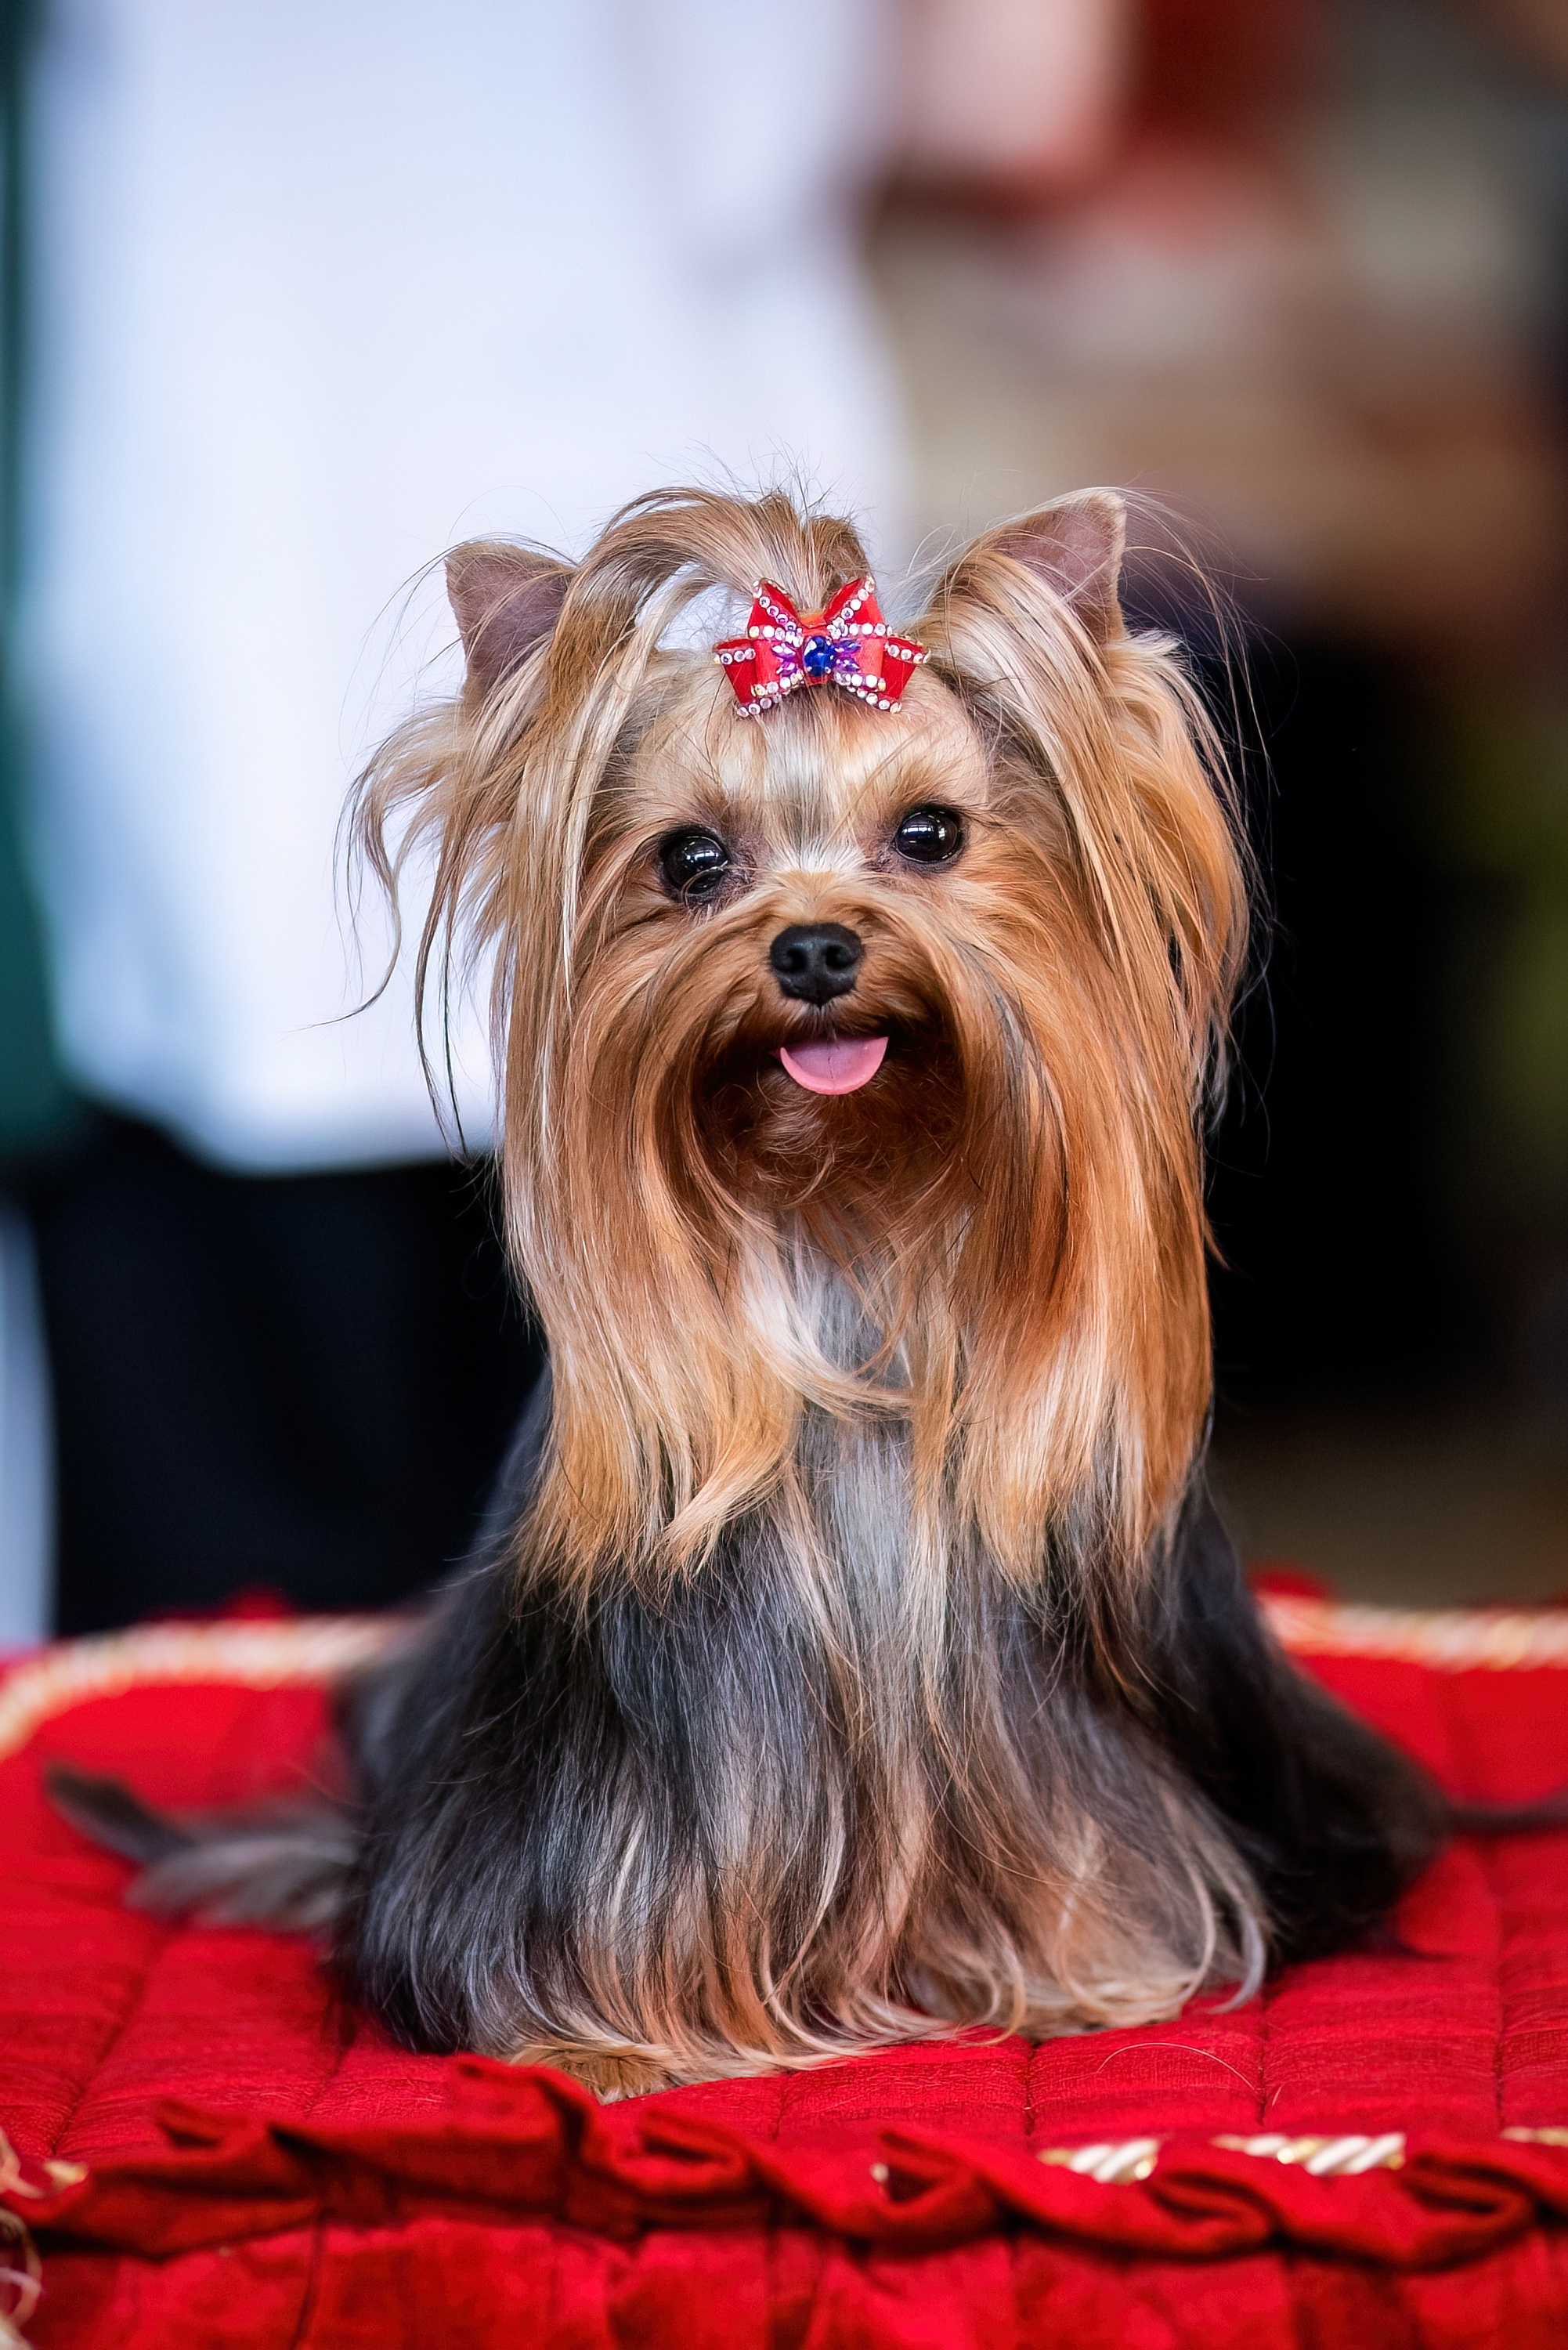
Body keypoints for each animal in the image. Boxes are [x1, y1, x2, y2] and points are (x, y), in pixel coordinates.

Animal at [49, 482, 1447, 2096]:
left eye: (930, 834)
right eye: (690, 862)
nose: (817, 945)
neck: (841, 1217)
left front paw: (1084, 1976)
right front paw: (603, 2036)